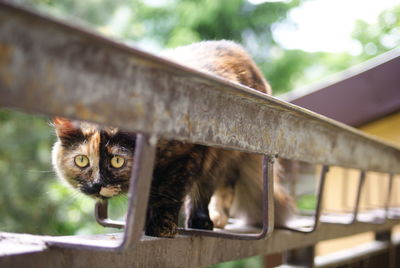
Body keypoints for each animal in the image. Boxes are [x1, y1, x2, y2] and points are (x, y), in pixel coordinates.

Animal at [52, 39, 294, 237]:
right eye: (81, 160)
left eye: (117, 161)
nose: (97, 184)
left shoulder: (185, 158)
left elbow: (169, 195)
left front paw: (161, 227)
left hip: (222, 159)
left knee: (214, 189)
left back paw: (206, 220)